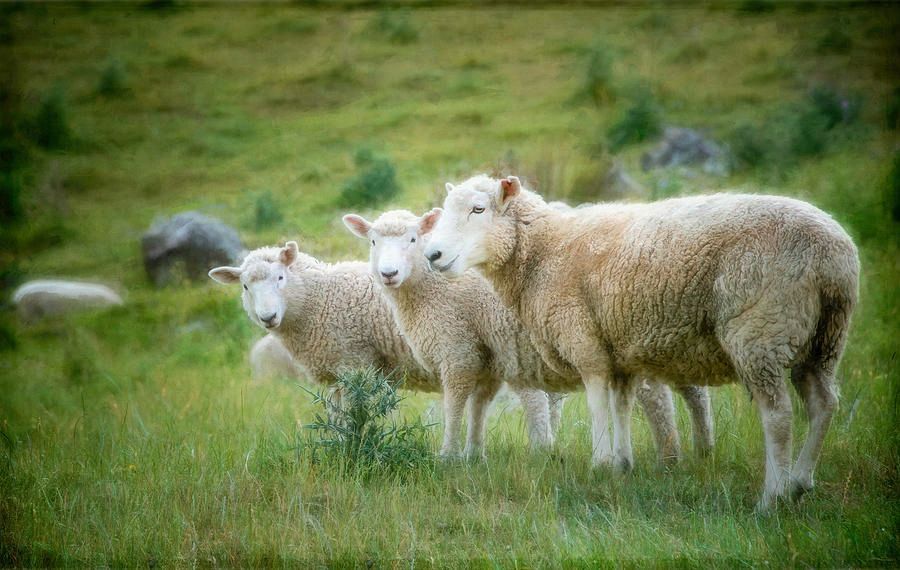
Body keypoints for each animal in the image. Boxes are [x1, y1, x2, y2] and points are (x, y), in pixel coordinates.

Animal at [344, 210, 712, 464]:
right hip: (664, 332)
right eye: (373, 242)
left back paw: (669, 457)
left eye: (412, 240)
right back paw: (702, 448)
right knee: (693, 392)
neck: (428, 290)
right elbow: (479, 406)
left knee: (657, 399)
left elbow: (455, 406)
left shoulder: (457, 350)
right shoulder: (485, 357)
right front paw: (473, 454)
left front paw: (448, 455)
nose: (388, 273)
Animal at [424, 174, 859, 509]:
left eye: (479, 210)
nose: (433, 255)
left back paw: (773, 497)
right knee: (823, 405)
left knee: (779, 416)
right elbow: (621, 407)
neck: (544, 252)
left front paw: (600, 463)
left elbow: (599, 405)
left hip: (761, 329)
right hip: (824, 338)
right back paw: (800, 483)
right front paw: (622, 463)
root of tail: (832, 254)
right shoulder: (619, 352)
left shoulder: (586, 343)